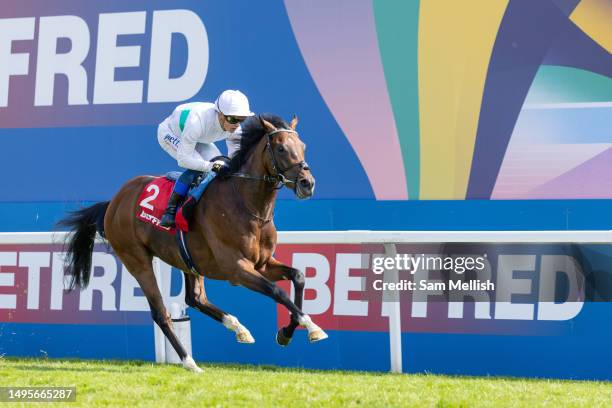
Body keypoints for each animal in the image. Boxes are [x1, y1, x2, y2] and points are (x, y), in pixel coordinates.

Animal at [58, 114, 326, 372]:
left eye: (303, 146)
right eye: (280, 148)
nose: (308, 183)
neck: (247, 205)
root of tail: (114, 202)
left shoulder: (263, 263)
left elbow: (298, 276)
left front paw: (288, 332)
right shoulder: (237, 268)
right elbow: (277, 291)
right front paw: (311, 326)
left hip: (188, 260)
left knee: (195, 299)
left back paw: (238, 327)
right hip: (137, 260)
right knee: (161, 313)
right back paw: (189, 362)